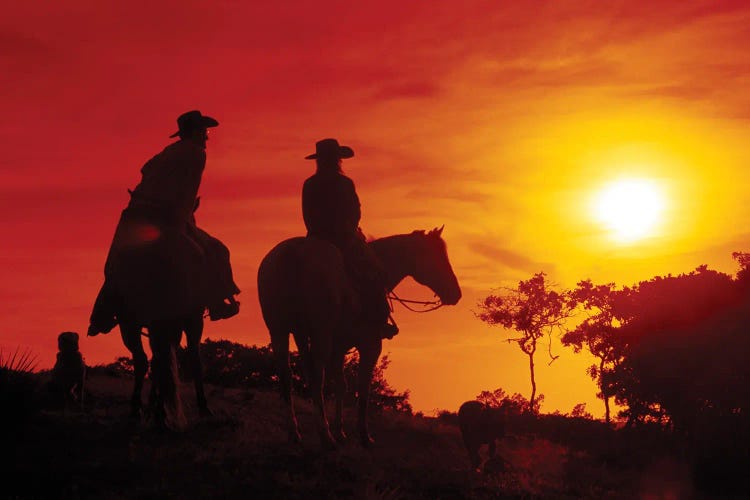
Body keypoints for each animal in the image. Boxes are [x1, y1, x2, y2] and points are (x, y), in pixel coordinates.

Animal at [260, 226, 464, 446]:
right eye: (437, 257)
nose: (456, 293)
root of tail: (292, 254)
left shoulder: (338, 348)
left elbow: (341, 385)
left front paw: (341, 431)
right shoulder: (370, 344)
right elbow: (363, 386)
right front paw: (364, 435)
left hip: (279, 330)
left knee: (287, 376)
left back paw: (295, 431)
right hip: (320, 332)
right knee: (316, 375)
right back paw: (325, 434)